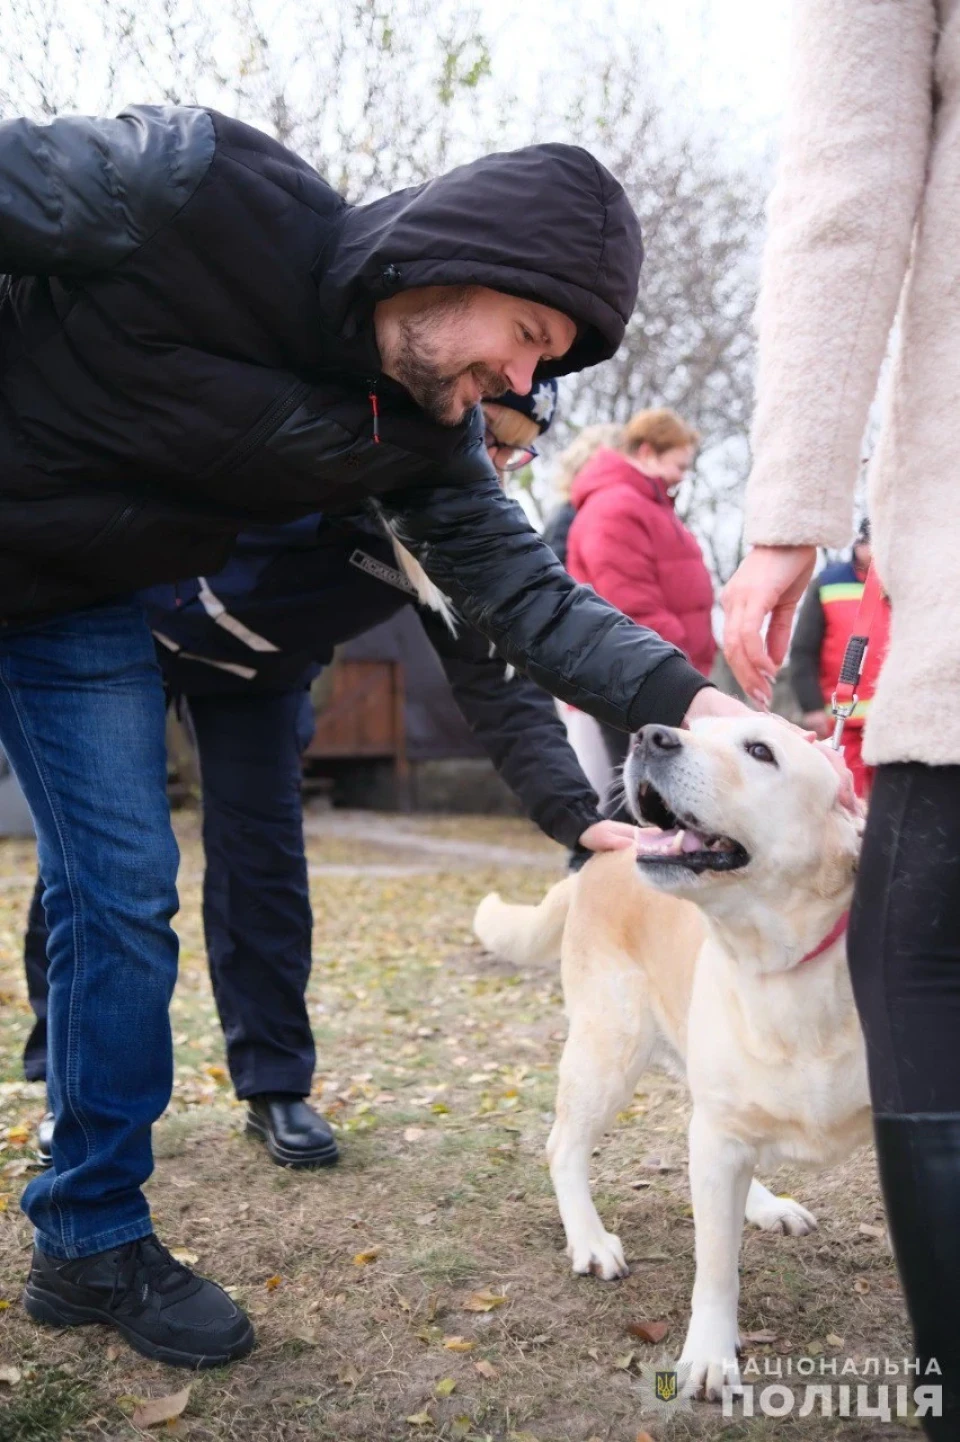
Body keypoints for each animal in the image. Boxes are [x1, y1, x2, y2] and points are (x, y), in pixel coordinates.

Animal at [472, 718, 864, 1395]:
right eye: (695, 728)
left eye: (760, 751)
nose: (650, 736)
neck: (782, 973)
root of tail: (601, 857)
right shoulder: (717, 1134)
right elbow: (717, 1268)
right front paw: (709, 1355)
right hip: (609, 1049)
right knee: (563, 1146)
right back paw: (591, 1241)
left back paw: (763, 1204)